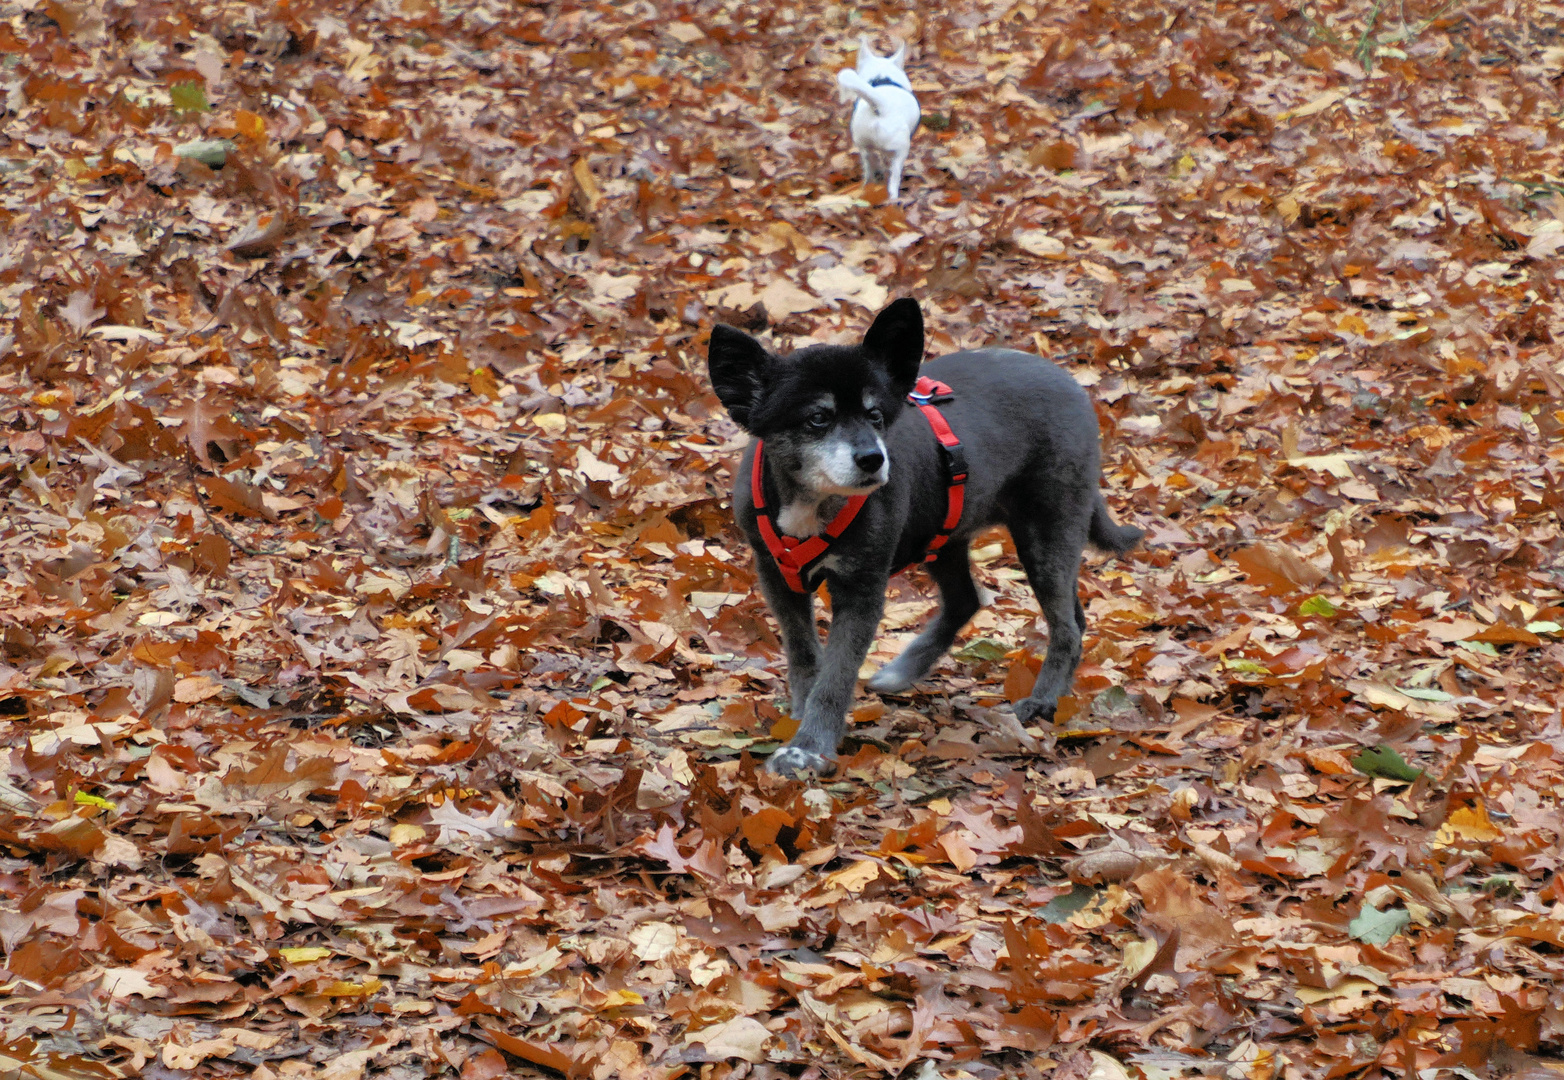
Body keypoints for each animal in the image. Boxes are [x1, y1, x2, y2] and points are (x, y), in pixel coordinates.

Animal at [710, 300, 1138, 772]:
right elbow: (805, 656)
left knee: (1065, 626)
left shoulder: (861, 590)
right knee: (975, 601)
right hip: (946, 535)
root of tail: (1074, 387)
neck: (814, 504)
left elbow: (836, 676)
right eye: (817, 418)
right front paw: (800, 718)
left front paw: (809, 749)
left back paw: (1042, 701)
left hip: (1046, 533)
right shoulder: (777, 578)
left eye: (876, 415)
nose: (873, 459)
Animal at [838, 37, 919, 203]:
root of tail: (881, 106)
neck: (882, 76)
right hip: (901, 151)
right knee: (894, 179)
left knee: (869, 167)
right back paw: (893, 199)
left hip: (864, 146)